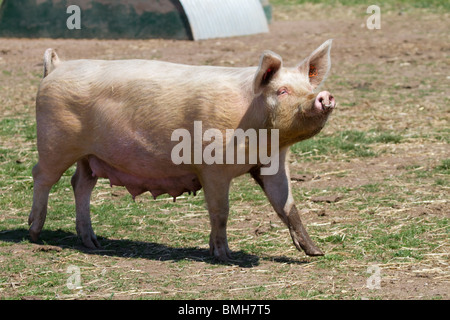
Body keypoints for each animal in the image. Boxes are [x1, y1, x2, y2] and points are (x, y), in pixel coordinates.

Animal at [29, 40, 336, 262]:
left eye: (309, 87)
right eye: (282, 91)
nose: (323, 96)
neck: (261, 136)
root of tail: (55, 67)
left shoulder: (273, 163)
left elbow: (287, 206)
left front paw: (315, 252)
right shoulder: (212, 166)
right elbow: (220, 211)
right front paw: (225, 256)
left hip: (89, 156)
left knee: (80, 183)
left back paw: (93, 243)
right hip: (55, 143)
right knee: (42, 176)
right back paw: (34, 233)